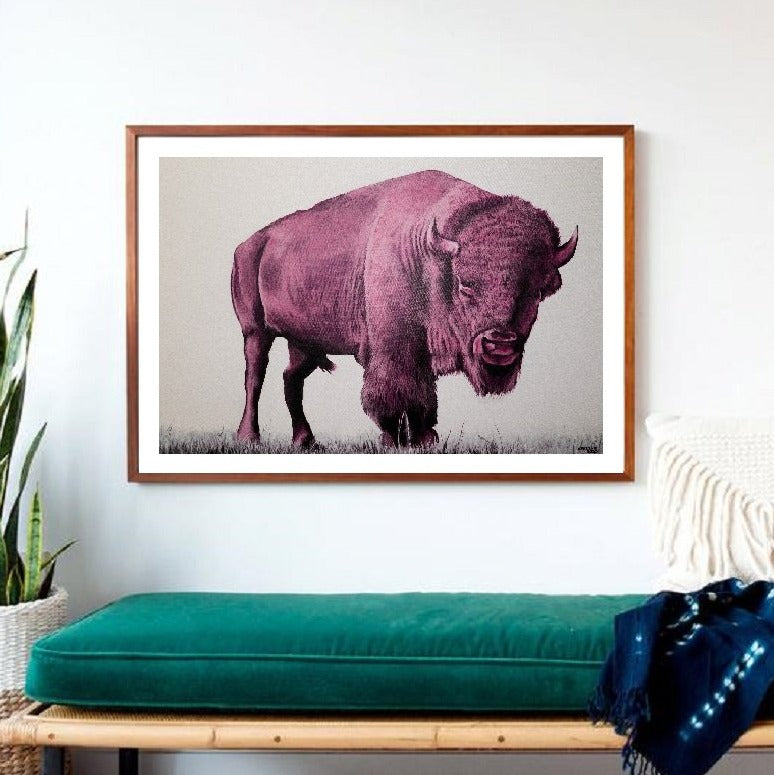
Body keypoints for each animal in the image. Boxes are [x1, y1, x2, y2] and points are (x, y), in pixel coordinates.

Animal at [231, 170, 577, 448]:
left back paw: (306, 441)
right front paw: (392, 441)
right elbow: (394, 392)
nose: (500, 344)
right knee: (255, 375)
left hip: (305, 341)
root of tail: (248, 244)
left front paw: (425, 441)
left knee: (292, 378)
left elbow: (424, 399)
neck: (429, 250)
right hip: (255, 331)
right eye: (465, 285)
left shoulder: (421, 353)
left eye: (535, 292)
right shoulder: (394, 347)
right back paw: (249, 437)